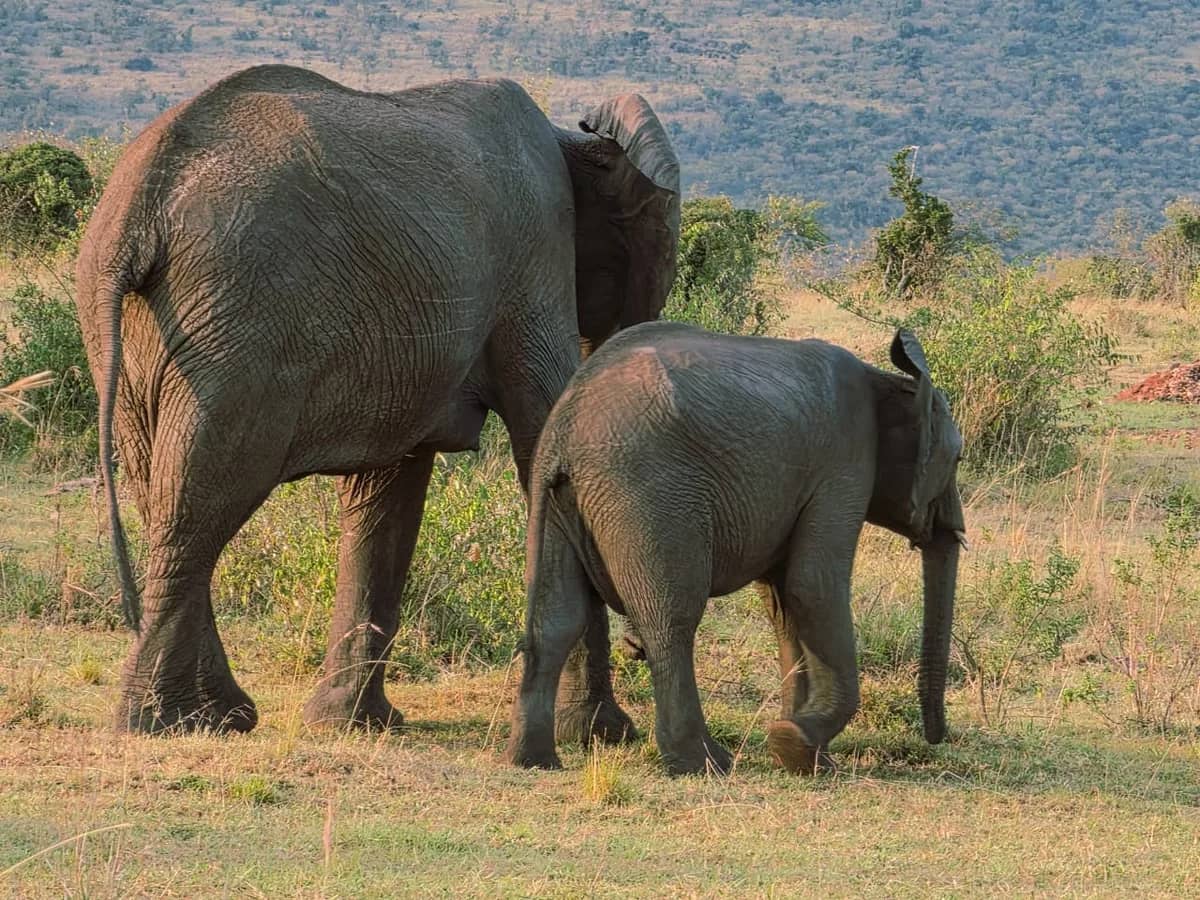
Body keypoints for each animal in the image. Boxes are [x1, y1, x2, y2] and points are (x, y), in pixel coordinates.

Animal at [74, 64, 680, 735]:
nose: (638, 646)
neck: (571, 139)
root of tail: (138, 208)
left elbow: (388, 493)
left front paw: (349, 725)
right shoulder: (536, 264)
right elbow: (539, 451)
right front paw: (603, 734)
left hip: (144, 333)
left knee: (161, 493)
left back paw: (217, 717)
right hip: (235, 324)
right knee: (201, 495)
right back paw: (166, 721)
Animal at [506, 322, 967, 776]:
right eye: (959, 459)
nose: (937, 737)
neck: (887, 380)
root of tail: (564, 425)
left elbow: (783, 604)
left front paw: (800, 754)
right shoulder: (845, 463)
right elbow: (812, 587)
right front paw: (797, 745)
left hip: (560, 501)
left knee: (558, 620)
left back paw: (535, 760)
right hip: (646, 494)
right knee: (671, 618)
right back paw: (703, 763)